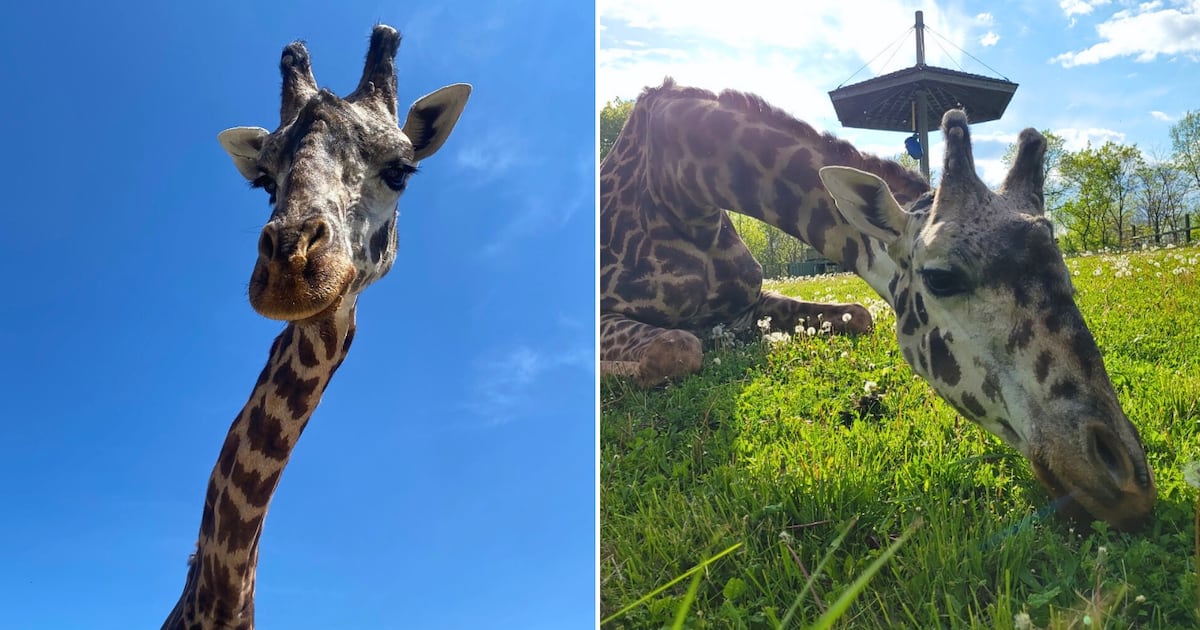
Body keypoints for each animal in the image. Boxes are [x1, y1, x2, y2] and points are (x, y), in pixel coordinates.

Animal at [600, 79, 1155, 531]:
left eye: (1064, 269)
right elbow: (676, 348)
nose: (1128, 481)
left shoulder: (750, 302)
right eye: (941, 278)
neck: (680, 187)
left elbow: (859, 315)